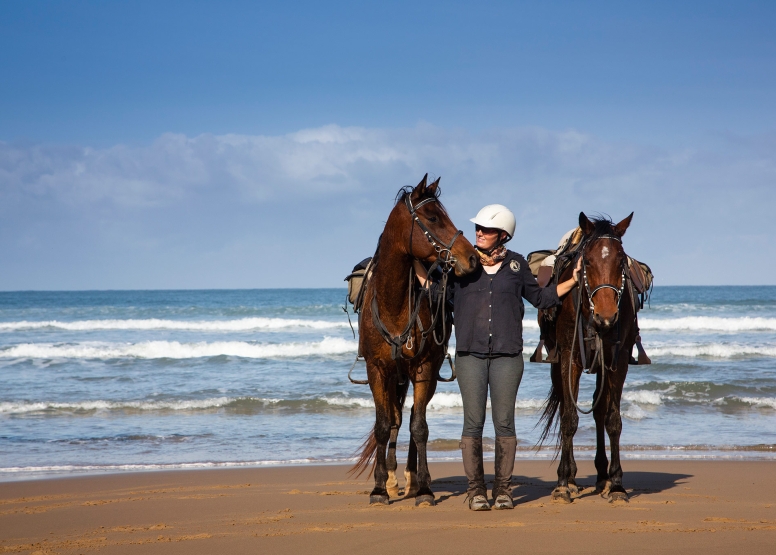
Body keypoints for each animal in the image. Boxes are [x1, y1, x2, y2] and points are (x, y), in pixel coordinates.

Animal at [354, 175, 478, 508]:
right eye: (433, 218)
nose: (473, 258)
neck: (394, 304)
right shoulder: (377, 370)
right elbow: (384, 426)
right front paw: (379, 488)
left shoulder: (423, 369)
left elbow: (419, 427)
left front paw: (423, 489)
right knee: (397, 419)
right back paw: (393, 479)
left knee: (411, 418)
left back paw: (411, 479)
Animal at [536, 212, 640, 504]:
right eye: (588, 261)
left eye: (620, 260)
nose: (606, 315)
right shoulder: (569, 358)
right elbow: (569, 418)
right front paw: (563, 483)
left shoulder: (618, 360)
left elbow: (613, 420)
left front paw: (616, 485)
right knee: (566, 407)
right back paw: (570, 477)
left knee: (599, 410)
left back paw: (603, 476)